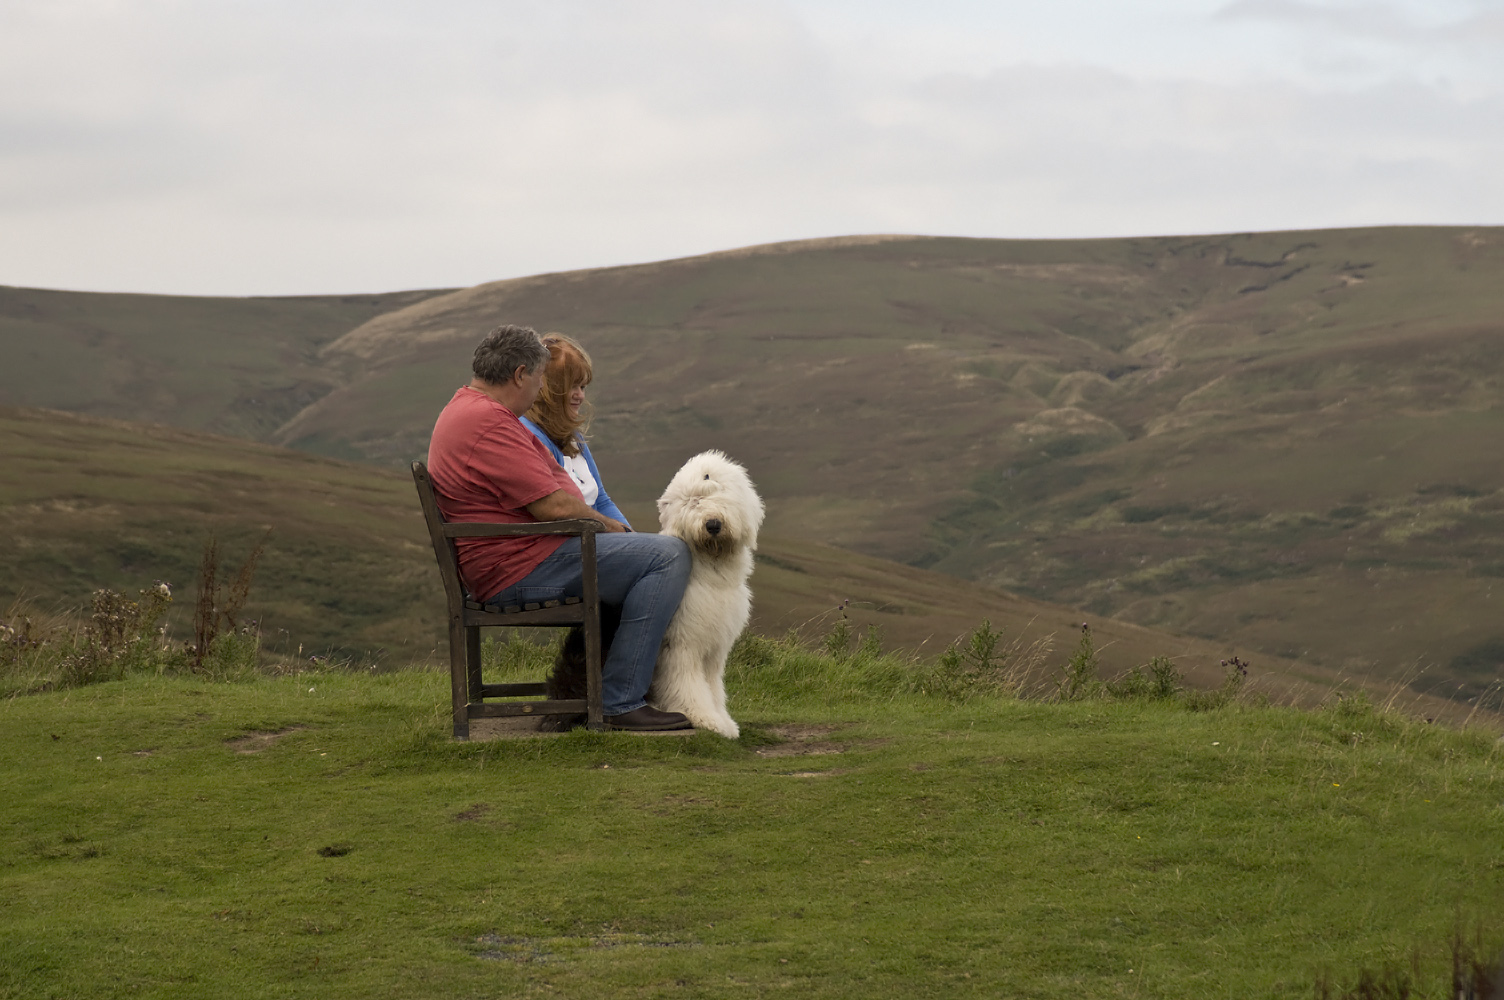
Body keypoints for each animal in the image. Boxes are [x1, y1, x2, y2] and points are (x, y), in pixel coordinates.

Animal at [649, 448, 764, 736]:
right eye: (694, 502)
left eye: (721, 495)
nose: (713, 525)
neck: (712, 574)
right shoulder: (682, 642)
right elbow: (687, 683)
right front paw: (703, 717)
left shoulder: (715, 646)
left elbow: (712, 686)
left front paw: (724, 720)